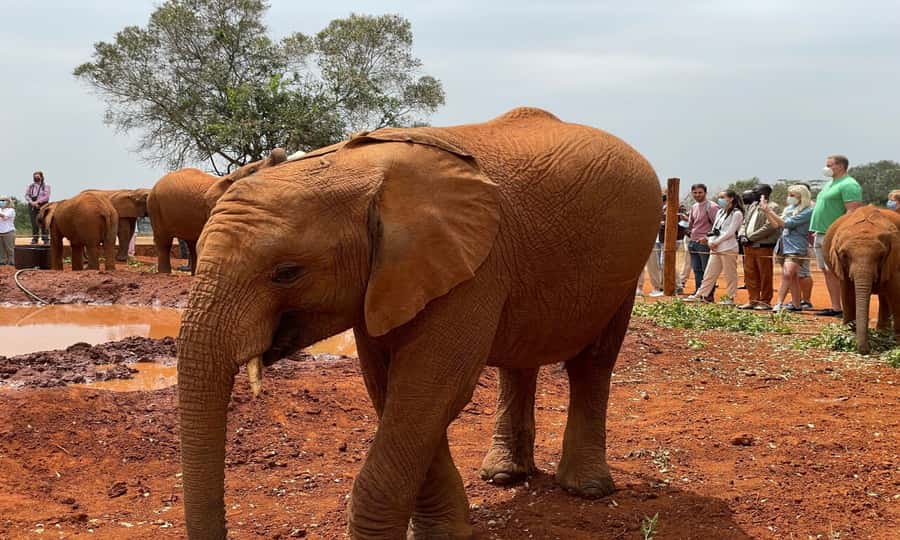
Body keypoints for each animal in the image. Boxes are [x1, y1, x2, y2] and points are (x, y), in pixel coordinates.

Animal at [176, 107, 660, 539]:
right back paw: (503, 476)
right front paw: (445, 533)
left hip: (627, 262)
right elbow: (393, 391)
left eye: (287, 272)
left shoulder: (472, 269)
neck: (359, 173)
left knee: (592, 364)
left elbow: (429, 391)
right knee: (519, 363)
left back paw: (587, 489)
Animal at [824, 205, 900, 354]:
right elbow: (847, 293)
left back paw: (884, 335)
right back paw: (882, 334)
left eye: (881, 256)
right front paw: (847, 336)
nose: (866, 350)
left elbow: (896, 293)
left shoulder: (894, 259)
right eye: (844, 255)